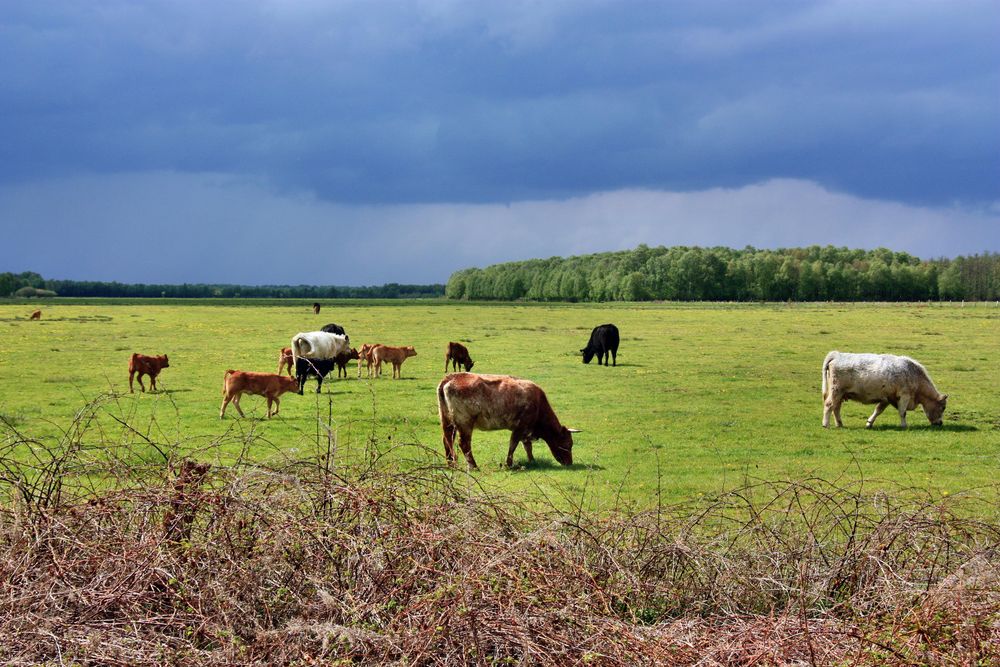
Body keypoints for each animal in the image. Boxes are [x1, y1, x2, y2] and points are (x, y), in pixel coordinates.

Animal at [436, 370, 584, 470]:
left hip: (447, 420)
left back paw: (451, 464)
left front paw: (532, 460)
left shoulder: (526, 430)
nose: (569, 463)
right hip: (465, 422)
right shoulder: (521, 426)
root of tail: (451, 377)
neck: (538, 403)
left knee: (447, 440)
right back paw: (474, 466)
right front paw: (509, 464)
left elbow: (527, 446)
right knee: (464, 444)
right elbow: (513, 444)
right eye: (567, 444)